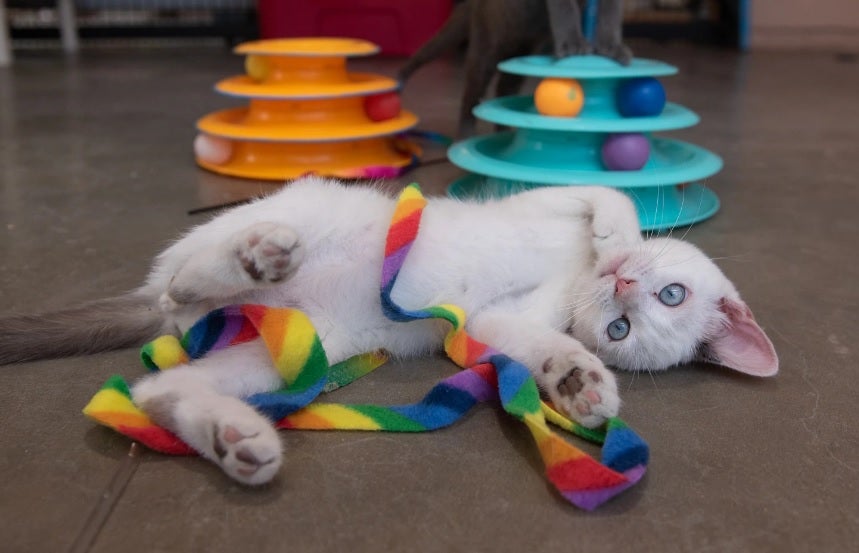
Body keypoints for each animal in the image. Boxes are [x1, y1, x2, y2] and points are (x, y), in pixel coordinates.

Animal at [0, 176, 780, 484]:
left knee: (159, 386)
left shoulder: (496, 321)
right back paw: (242, 259)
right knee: (183, 275)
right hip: (313, 209)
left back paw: (236, 439)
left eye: (622, 327)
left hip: (299, 348)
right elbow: (609, 195)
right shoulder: (549, 201)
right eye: (671, 291)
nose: (620, 282)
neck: (575, 273)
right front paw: (616, 231)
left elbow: (527, 339)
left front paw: (576, 381)